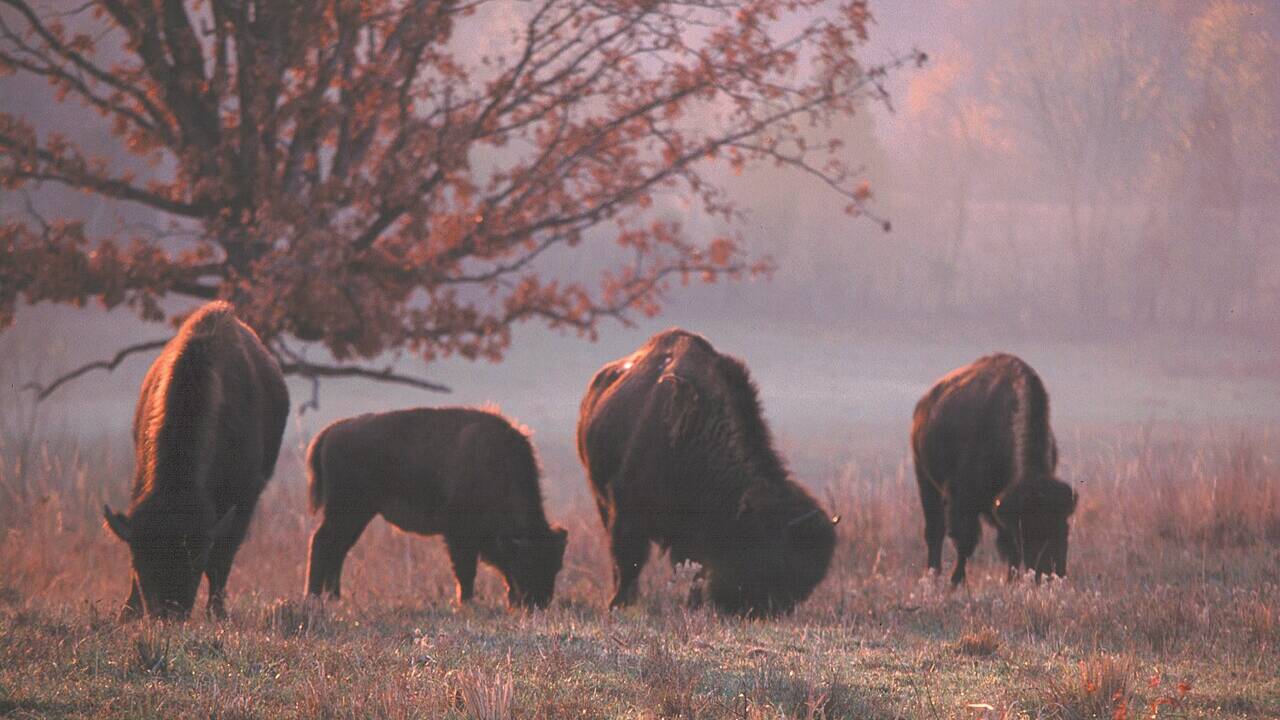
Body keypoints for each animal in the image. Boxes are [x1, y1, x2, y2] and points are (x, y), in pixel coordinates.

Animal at [104, 301, 290, 619]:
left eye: (195, 558)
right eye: (140, 559)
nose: (167, 613)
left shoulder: (243, 498)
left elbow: (221, 558)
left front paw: (218, 613)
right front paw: (128, 612)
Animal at [305, 407, 568, 609]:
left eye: (556, 566)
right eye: (526, 562)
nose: (538, 604)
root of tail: (332, 430)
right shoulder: (459, 536)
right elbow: (465, 571)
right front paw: (466, 602)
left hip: (357, 515)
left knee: (338, 549)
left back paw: (334, 596)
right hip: (347, 511)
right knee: (322, 542)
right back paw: (314, 596)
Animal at [578, 329, 837, 616]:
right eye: (773, 555)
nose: (766, 610)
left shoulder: (692, 533)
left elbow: (694, 568)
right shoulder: (626, 512)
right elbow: (628, 561)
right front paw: (620, 603)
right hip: (600, 497)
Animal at [911, 353, 1078, 585]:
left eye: (1065, 528)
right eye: (1026, 531)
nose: (1051, 573)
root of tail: (925, 404)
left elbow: (1009, 549)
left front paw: (1011, 582)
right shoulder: (963, 500)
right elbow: (965, 543)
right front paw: (955, 582)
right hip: (925, 481)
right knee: (935, 532)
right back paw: (933, 575)